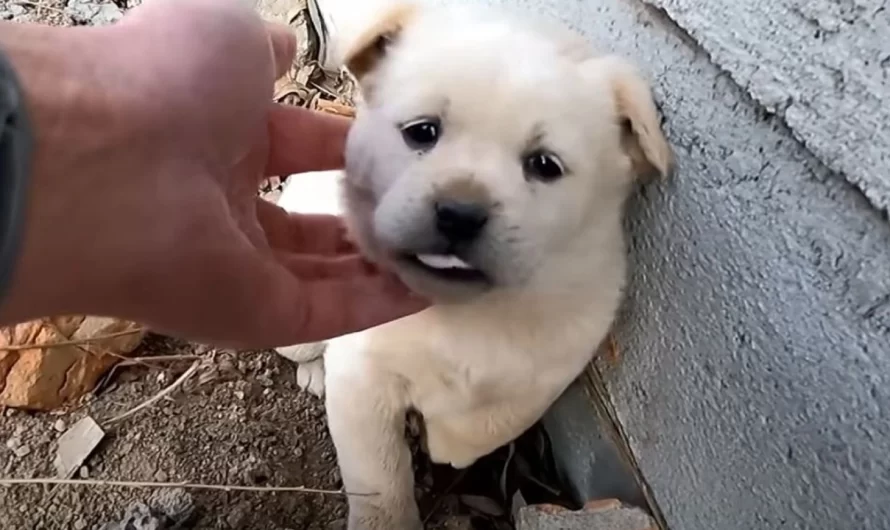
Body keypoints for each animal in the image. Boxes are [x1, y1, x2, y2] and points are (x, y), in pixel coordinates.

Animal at [274, 5, 668, 528]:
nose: (459, 213)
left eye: (544, 164)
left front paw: (448, 442)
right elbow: (377, 475)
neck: (462, 306)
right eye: (422, 131)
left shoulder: (552, 367)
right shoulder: (364, 375)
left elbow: (494, 420)